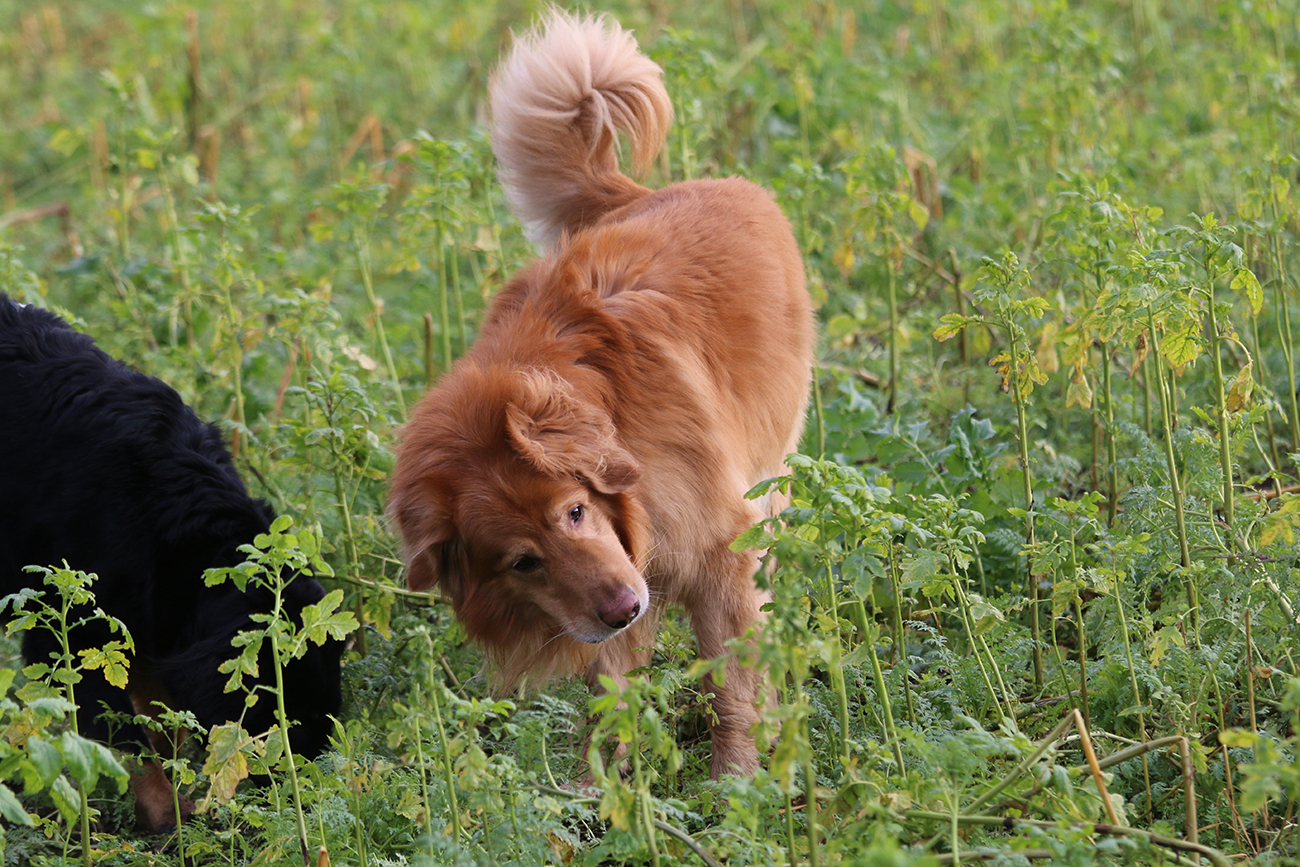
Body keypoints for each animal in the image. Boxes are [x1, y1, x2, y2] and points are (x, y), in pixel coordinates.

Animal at [0, 295, 344, 829]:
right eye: (279, 724)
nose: (300, 800)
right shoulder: (71, 632)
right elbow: (129, 739)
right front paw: (169, 816)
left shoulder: (145, 624)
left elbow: (162, 723)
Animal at [388, 10, 813, 778]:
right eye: (522, 561)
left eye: (576, 510)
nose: (621, 608)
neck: (611, 418)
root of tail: (645, 193)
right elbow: (612, 703)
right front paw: (593, 793)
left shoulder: (719, 554)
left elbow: (733, 683)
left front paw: (737, 781)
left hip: (771, 473)